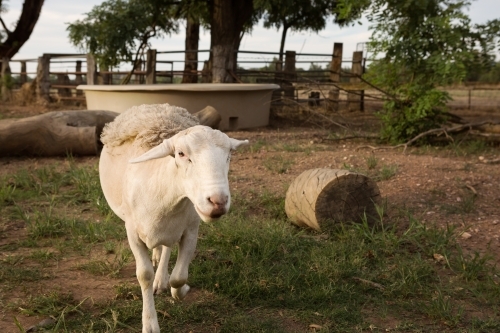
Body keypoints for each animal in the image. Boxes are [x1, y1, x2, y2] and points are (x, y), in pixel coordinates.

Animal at [99, 102, 248, 330]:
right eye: (181, 154)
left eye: (229, 155)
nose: (218, 201)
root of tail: (156, 105)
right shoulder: (132, 231)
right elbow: (144, 275)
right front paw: (150, 323)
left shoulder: (190, 230)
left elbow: (179, 276)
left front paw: (180, 290)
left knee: (167, 248)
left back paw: (162, 277)